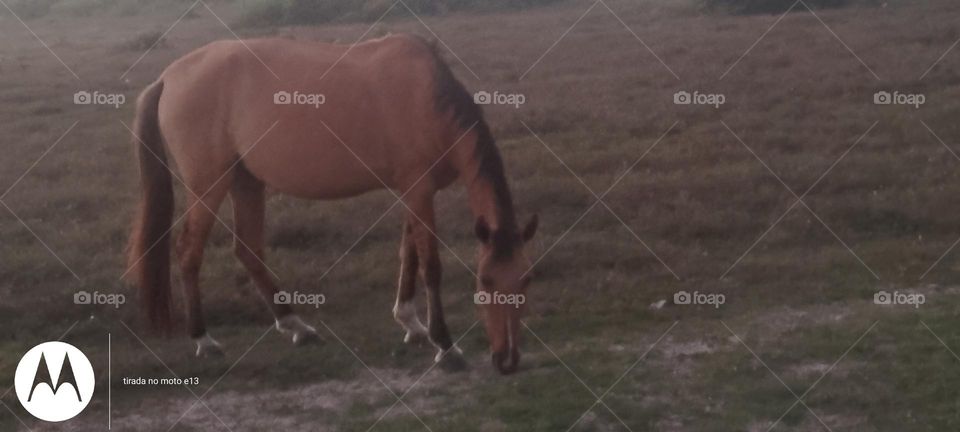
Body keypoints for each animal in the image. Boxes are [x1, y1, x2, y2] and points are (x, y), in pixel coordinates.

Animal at [125, 33, 538, 374]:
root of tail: (169, 77)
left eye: (525, 279)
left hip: (246, 180)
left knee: (248, 249)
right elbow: (431, 265)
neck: (426, 98)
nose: (507, 359)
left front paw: (411, 323)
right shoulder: (419, 190)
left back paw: (297, 326)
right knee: (189, 251)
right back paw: (204, 340)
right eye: (484, 281)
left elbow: (408, 255)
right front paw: (445, 346)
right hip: (209, 184)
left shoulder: (413, 191)